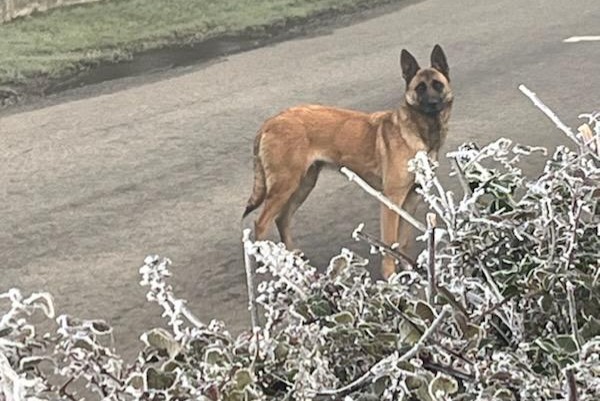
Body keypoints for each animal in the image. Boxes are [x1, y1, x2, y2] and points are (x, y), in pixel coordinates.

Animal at [241, 45, 452, 276]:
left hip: (303, 184)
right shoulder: (392, 199)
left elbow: (403, 240)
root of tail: (270, 121)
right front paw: (390, 276)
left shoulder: (411, 198)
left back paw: (293, 257)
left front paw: (409, 271)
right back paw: (269, 266)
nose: (433, 103)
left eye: (437, 85)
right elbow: (389, 242)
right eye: (420, 88)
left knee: (282, 218)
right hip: (285, 186)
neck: (419, 129)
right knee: (261, 223)